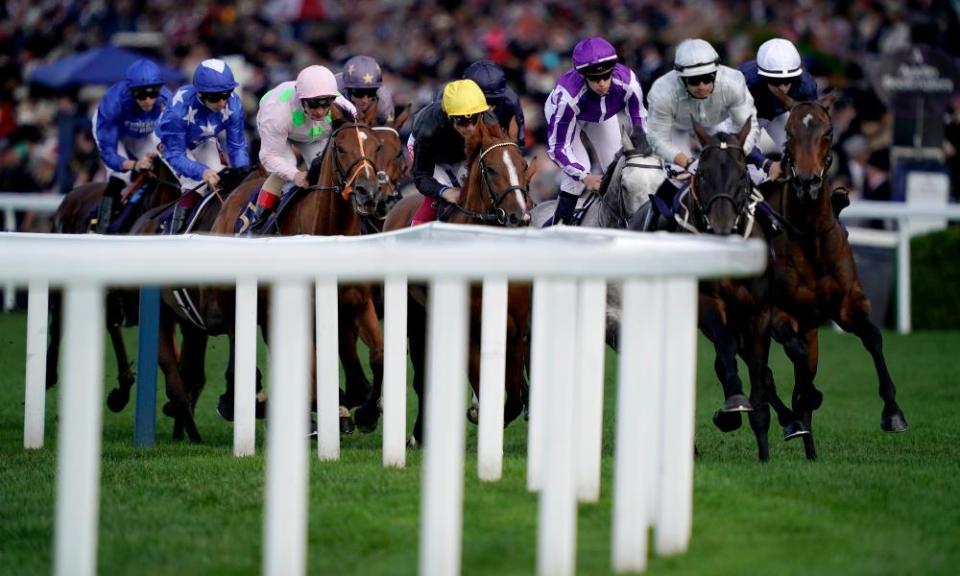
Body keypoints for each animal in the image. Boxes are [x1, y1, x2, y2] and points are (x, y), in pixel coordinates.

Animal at [382, 119, 536, 446]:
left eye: (524, 163)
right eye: (490, 168)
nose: (519, 217)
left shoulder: (517, 330)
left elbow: (514, 395)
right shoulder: (469, 331)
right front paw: (481, 414)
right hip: (415, 316)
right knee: (421, 375)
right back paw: (417, 435)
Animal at [764, 90, 908, 460]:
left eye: (828, 133)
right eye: (789, 133)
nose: (807, 181)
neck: (810, 238)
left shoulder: (846, 305)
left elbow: (873, 337)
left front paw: (893, 412)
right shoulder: (779, 315)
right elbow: (795, 359)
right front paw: (806, 401)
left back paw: (810, 448)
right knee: (764, 371)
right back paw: (791, 420)